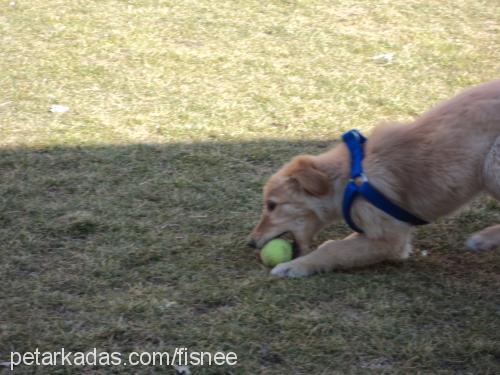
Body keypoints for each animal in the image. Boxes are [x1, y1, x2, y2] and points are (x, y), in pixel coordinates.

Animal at [249, 79, 500, 278]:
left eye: (272, 205)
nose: (250, 242)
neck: (351, 179)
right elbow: (340, 243)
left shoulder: (392, 238)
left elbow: (334, 249)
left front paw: (294, 266)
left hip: (491, 165)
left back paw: (484, 238)